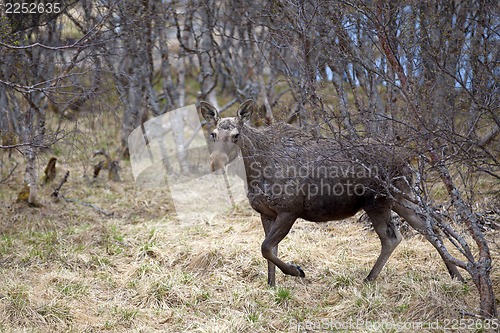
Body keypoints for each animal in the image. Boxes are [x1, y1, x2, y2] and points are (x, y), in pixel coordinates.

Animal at [198, 98, 460, 286]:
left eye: (236, 135)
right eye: (213, 134)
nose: (215, 162)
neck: (254, 172)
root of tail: (407, 162)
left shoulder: (289, 210)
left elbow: (266, 248)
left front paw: (297, 271)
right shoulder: (266, 212)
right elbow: (268, 251)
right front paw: (272, 285)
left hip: (378, 201)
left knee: (392, 237)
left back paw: (369, 278)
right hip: (401, 197)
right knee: (428, 227)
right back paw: (456, 275)